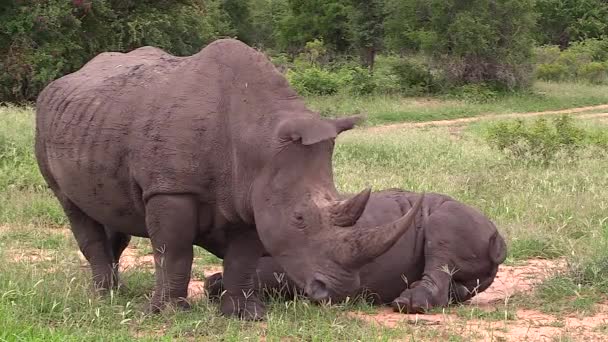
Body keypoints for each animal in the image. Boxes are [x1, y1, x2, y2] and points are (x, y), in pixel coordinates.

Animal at [35, 38, 420, 320]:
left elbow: (242, 259)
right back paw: (105, 296)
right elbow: (174, 250)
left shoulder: (251, 196)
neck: (258, 136)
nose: (340, 292)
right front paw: (168, 313)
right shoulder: (170, 188)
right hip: (45, 123)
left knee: (111, 211)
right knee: (72, 206)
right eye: (298, 218)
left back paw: (116, 291)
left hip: (95, 121)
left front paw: (245, 315)